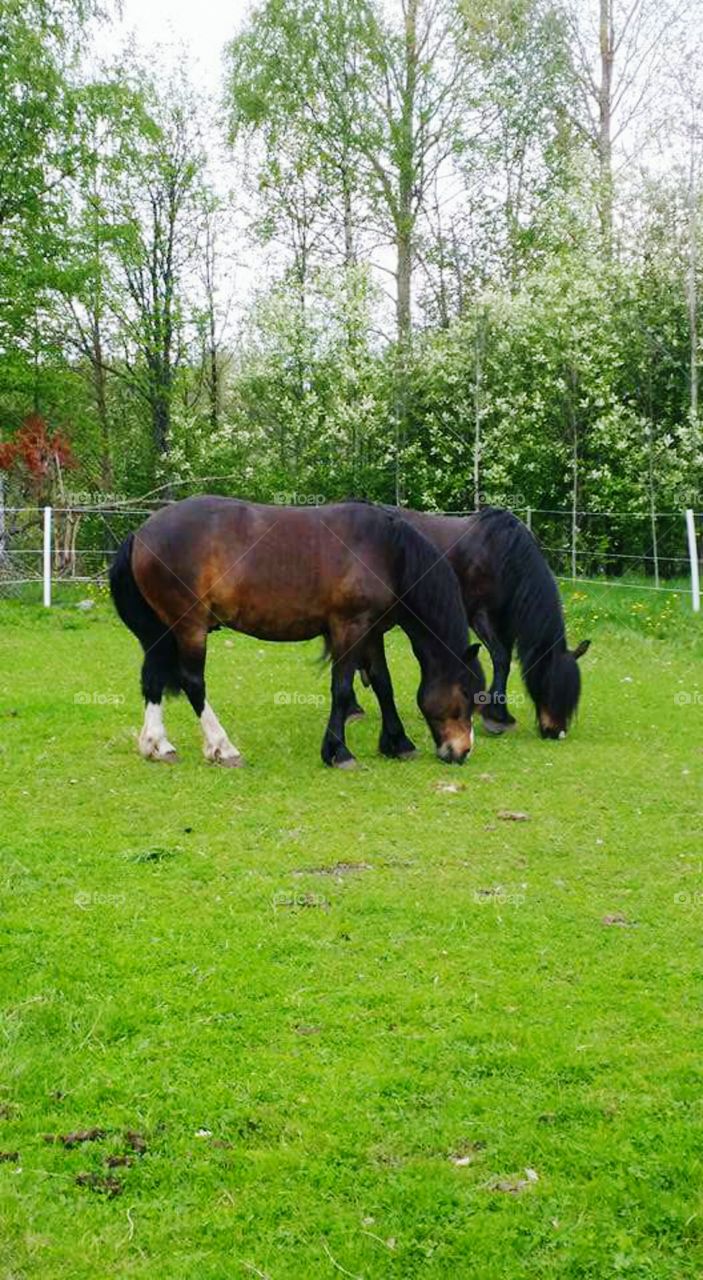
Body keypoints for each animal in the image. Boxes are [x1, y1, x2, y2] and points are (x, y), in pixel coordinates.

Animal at [108, 496, 484, 769]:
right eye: (467, 693)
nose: (463, 750)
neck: (388, 553)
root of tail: (140, 534)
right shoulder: (349, 627)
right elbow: (342, 688)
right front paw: (338, 752)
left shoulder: (371, 631)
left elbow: (382, 684)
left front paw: (398, 743)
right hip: (190, 627)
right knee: (192, 682)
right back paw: (222, 747)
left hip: (163, 631)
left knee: (153, 678)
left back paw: (157, 745)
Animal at [348, 506, 590, 739]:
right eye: (550, 686)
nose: (557, 732)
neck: (501, 553)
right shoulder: (480, 616)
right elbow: (501, 659)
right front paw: (496, 717)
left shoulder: (504, 623)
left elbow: (505, 663)